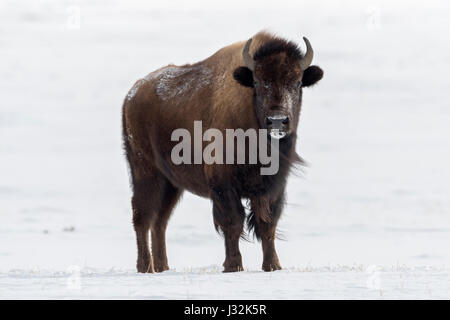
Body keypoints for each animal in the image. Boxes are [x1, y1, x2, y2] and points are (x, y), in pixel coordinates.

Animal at [121, 30, 322, 272]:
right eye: (257, 82)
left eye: (298, 82)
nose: (277, 121)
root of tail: (131, 95)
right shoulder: (223, 183)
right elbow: (233, 221)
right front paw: (233, 265)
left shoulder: (273, 186)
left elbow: (267, 224)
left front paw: (272, 265)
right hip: (145, 172)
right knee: (142, 216)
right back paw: (145, 267)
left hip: (171, 184)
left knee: (160, 221)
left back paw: (162, 267)